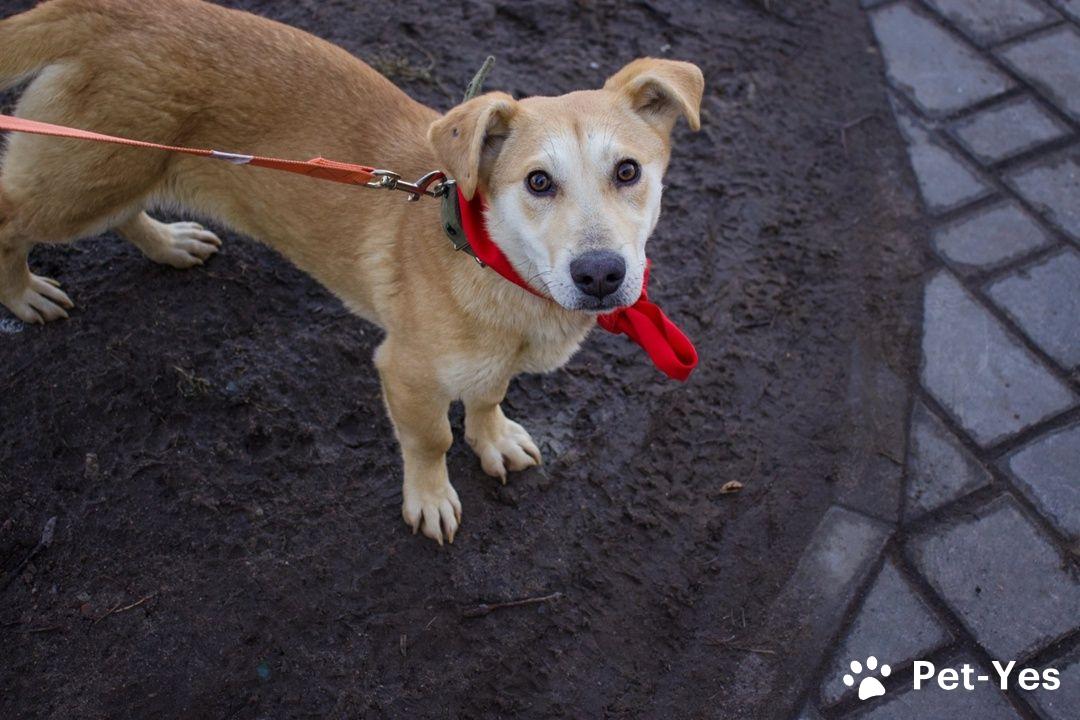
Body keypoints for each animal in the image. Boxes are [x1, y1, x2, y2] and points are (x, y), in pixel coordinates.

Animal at [0, 0, 703, 544]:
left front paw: (493, 436)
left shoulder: (490, 364)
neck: (492, 261)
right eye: (537, 182)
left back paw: (166, 243)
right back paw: (24, 293)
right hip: (79, 181)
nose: (601, 274)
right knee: (10, 216)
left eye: (628, 171)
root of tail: (111, 10)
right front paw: (431, 498)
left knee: (124, 214)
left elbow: (487, 395)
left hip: (112, 174)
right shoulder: (405, 372)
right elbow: (431, 441)